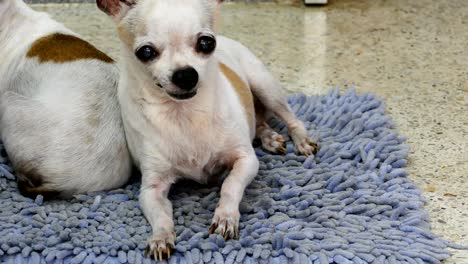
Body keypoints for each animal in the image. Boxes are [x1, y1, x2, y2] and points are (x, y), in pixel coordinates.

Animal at [97, 0, 320, 260]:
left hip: (266, 87)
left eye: (206, 43)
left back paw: (301, 141)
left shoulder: (247, 160)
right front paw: (160, 238)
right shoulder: (151, 189)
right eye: (146, 52)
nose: (185, 74)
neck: (185, 115)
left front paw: (226, 217)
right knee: (259, 123)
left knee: (291, 119)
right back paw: (270, 138)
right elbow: (161, 216)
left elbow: (230, 185)